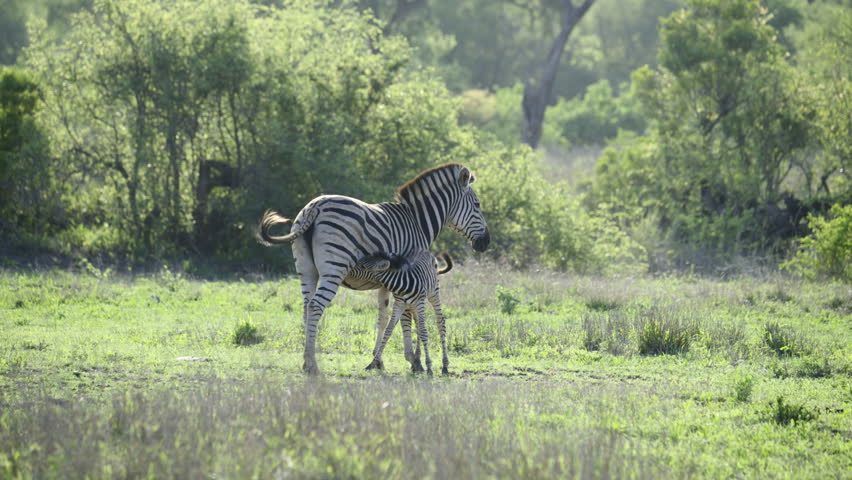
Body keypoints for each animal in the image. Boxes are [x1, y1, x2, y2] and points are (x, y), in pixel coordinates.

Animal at [256, 163, 489, 375]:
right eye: (477, 204)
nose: (486, 242)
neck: (417, 222)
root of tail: (315, 206)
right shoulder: (409, 274)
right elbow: (409, 317)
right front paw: (415, 361)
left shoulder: (390, 281)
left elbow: (383, 318)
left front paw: (379, 361)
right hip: (334, 267)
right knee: (315, 307)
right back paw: (312, 365)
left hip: (306, 269)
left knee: (306, 308)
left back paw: (306, 360)